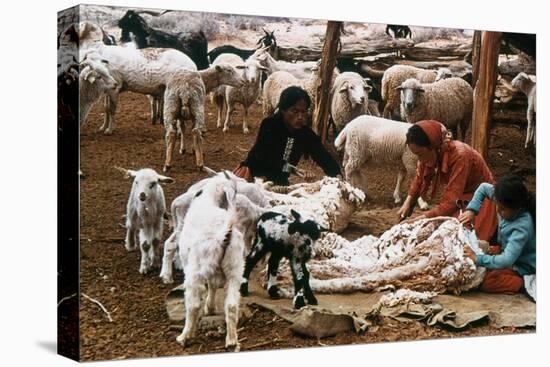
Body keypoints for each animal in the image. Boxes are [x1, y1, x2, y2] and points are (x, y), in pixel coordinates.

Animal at [177, 177, 246, 352]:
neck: (207, 201)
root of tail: (225, 232)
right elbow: (213, 285)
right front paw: (210, 309)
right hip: (235, 268)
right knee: (231, 305)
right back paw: (231, 340)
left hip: (196, 271)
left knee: (193, 305)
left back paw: (184, 337)